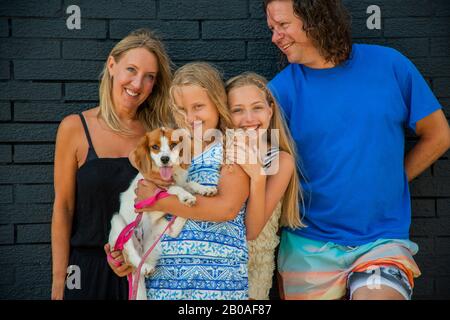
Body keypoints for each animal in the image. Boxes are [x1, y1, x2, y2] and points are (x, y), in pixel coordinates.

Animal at [107, 127, 216, 300]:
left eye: (173, 144)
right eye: (155, 147)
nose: (165, 159)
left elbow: (189, 184)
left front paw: (204, 189)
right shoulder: (152, 192)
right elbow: (172, 189)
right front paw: (185, 195)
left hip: (158, 230)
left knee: (173, 230)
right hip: (119, 225)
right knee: (130, 253)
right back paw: (144, 266)